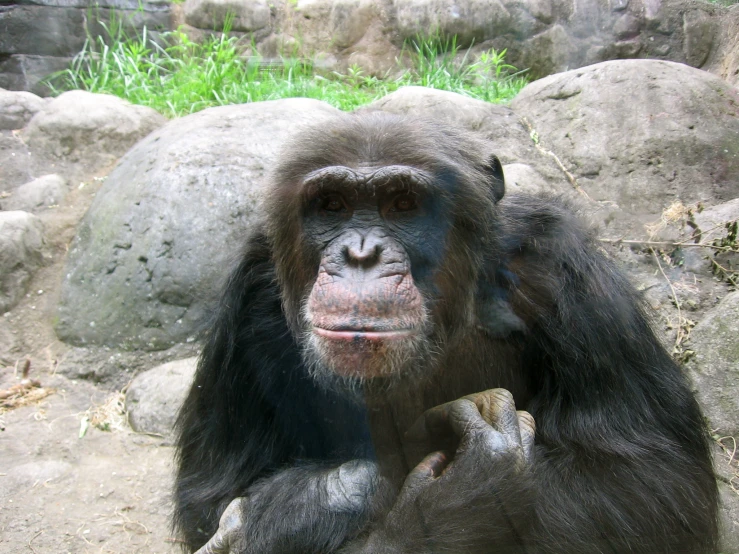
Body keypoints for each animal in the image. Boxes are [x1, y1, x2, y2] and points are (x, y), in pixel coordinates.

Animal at [172, 111, 716, 552]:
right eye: (331, 205)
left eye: (403, 203)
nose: (361, 254)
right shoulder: (251, 290)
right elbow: (212, 495)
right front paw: (430, 497)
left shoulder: (564, 267)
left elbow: (648, 482)